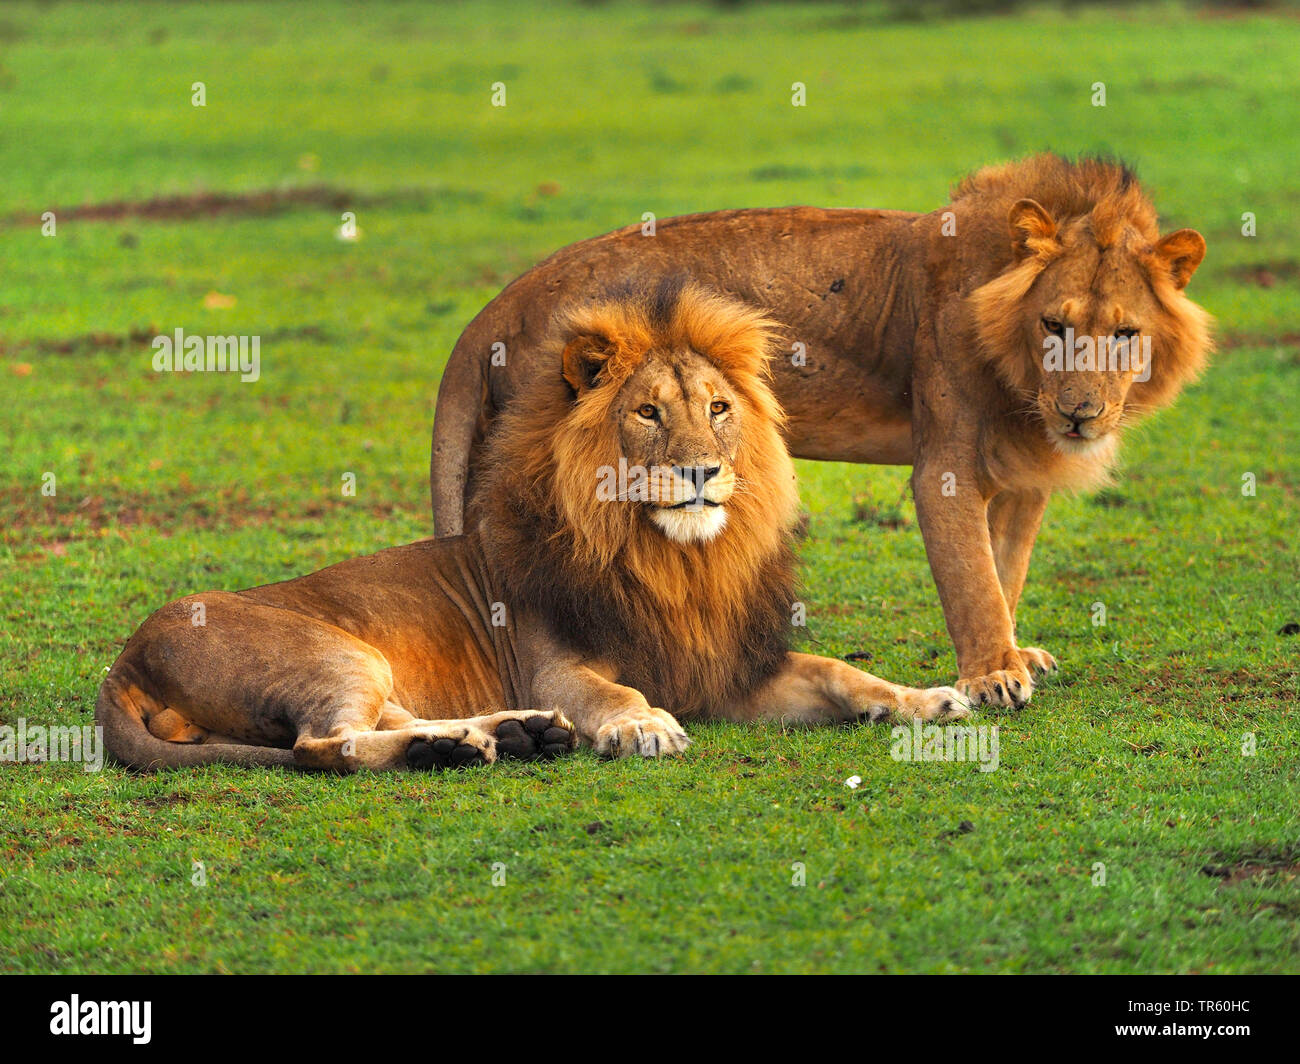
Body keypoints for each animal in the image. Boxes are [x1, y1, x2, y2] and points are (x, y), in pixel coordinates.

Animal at [96, 278, 967, 764]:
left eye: (718, 409)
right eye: (648, 413)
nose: (700, 470)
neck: (676, 562)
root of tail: (123, 662)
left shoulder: (727, 673)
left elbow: (840, 672)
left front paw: (929, 699)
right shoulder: (559, 666)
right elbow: (611, 693)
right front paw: (641, 727)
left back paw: (506, 735)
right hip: (339, 654)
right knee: (325, 745)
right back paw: (460, 749)